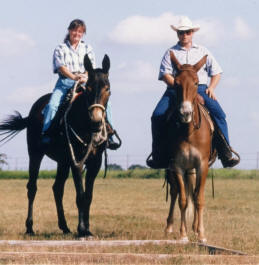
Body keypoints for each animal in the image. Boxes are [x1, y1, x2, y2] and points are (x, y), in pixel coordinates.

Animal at [0, 53, 115, 235]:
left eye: (107, 89)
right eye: (88, 89)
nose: (96, 121)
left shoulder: (94, 163)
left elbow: (88, 196)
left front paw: (87, 229)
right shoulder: (77, 162)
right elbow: (80, 195)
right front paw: (82, 230)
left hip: (63, 161)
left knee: (57, 188)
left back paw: (65, 226)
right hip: (35, 154)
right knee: (32, 188)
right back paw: (30, 227)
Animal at [166, 51, 214, 241]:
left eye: (195, 82)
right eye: (176, 83)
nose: (185, 113)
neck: (189, 132)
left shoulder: (201, 165)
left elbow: (198, 198)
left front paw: (201, 234)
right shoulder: (178, 166)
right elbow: (183, 200)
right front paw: (183, 234)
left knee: (193, 193)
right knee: (175, 192)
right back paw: (169, 227)